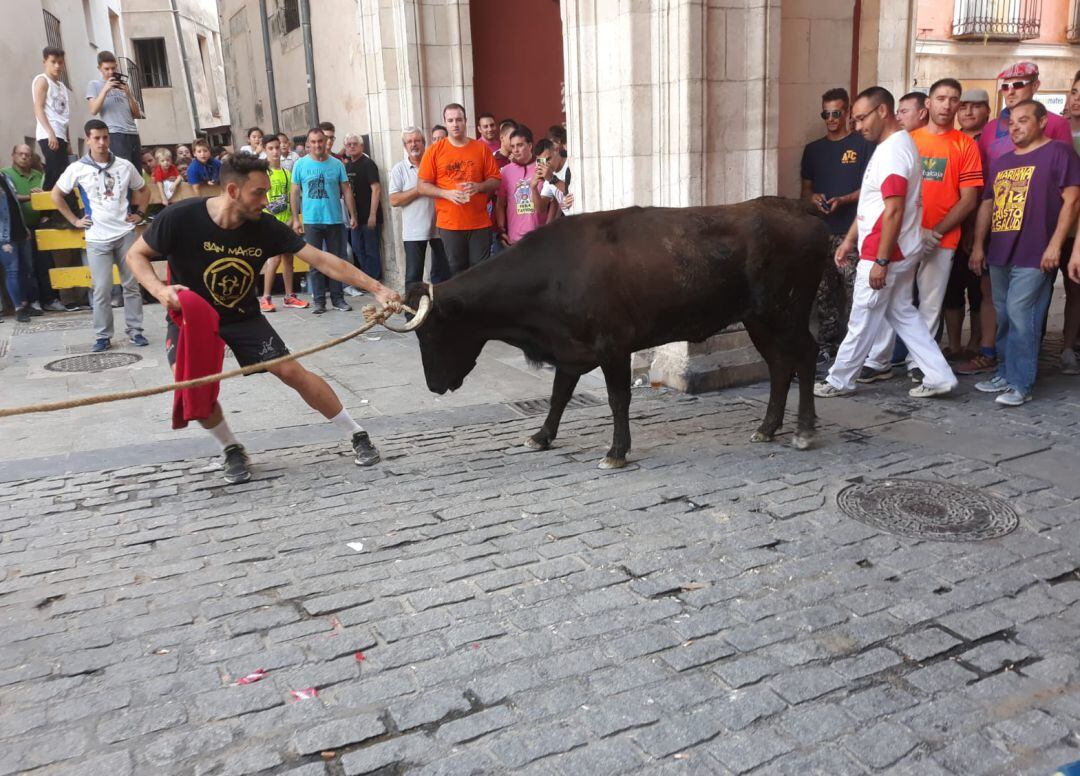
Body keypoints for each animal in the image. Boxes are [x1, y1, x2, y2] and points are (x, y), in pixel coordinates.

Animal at [406, 197, 825, 470]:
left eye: (431, 334)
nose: (432, 386)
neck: (553, 274)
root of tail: (797, 206)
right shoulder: (570, 351)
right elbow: (558, 396)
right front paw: (541, 436)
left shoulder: (613, 346)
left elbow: (617, 399)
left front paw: (616, 452)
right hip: (760, 321)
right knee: (779, 366)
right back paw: (767, 428)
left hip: (787, 314)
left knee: (805, 357)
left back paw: (804, 431)